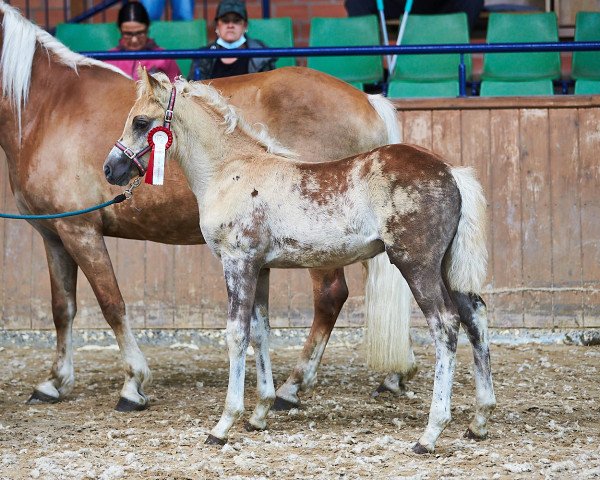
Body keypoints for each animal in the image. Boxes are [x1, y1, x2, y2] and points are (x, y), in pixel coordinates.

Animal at [0, 1, 412, 410]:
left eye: (141, 122)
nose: (110, 168)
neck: (47, 107)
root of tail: (369, 100)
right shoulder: (54, 234)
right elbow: (62, 308)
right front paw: (54, 382)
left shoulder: (81, 230)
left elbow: (111, 303)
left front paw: (133, 383)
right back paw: (394, 375)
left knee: (330, 296)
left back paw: (291, 388)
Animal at [104, 72, 496, 454]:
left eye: (141, 122)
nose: (111, 169)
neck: (231, 170)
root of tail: (451, 172)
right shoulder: (260, 268)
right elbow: (260, 332)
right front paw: (259, 414)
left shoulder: (237, 263)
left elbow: (236, 334)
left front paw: (223, 425)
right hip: (448, 269)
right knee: (475, 318)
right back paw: (478, 421)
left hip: (418, 266)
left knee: (445, 325)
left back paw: (430, 434)